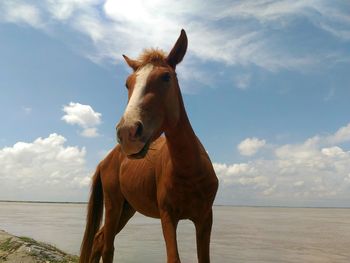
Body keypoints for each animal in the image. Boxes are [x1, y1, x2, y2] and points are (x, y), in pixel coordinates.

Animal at [80, 29, 219, 262]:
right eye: (128, 83)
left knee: (98, 241)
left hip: (127, 209)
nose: (127, 131)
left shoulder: (205, 218)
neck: (189, 170)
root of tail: (105, 160)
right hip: (114, 204)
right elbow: (174, 258)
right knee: (107, 247)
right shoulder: (168, 216)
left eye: (166, 77)